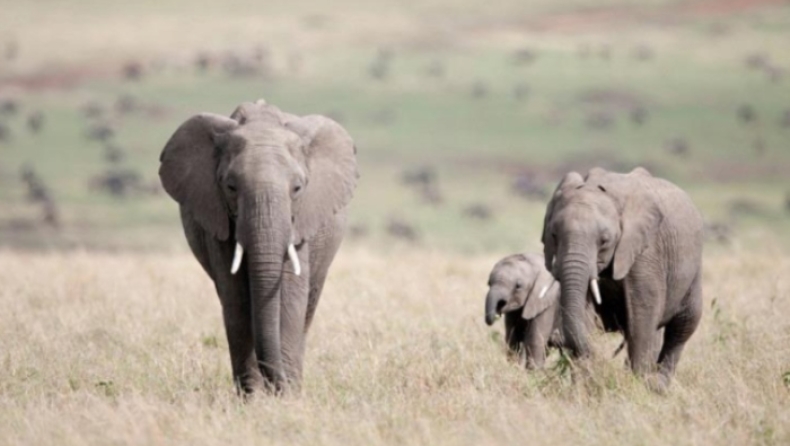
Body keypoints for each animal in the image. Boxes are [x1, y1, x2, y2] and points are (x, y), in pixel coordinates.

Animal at [159, 100, 358, 394]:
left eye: (298, 188)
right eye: (231, 187)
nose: (278, 388)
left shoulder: (300, 223)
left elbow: (290, 295)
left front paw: (287, 396)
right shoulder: (218, 220)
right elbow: (236, 298)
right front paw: (252, 398)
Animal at [544, 167, 704, 390]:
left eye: (604, 241)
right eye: (553, 235)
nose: (555, 339)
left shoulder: (646, 252)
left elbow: (642, 312)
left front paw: (637, 386)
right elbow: (584, 312)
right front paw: (584, 387)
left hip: (693, 270)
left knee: (683, 326)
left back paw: (659, 385)